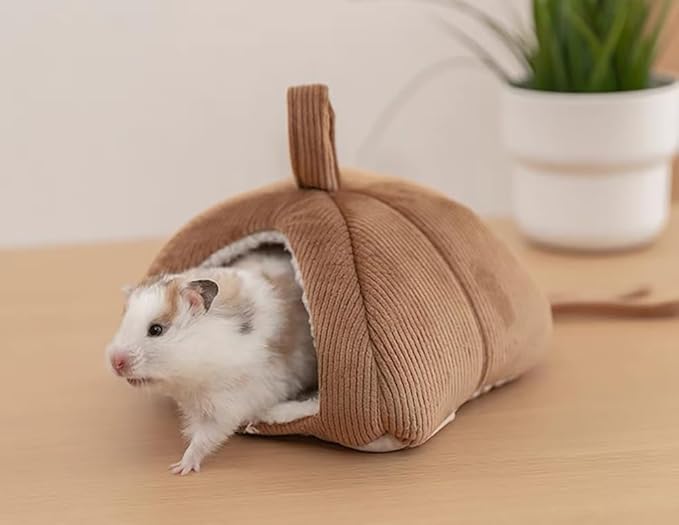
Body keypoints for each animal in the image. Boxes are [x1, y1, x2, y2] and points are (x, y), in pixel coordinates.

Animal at [105, 248, 317, 474]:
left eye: (156, 329)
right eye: (123, 322)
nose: (115, 363)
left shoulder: (227, 403)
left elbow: (204, 438)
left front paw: (179, 468)